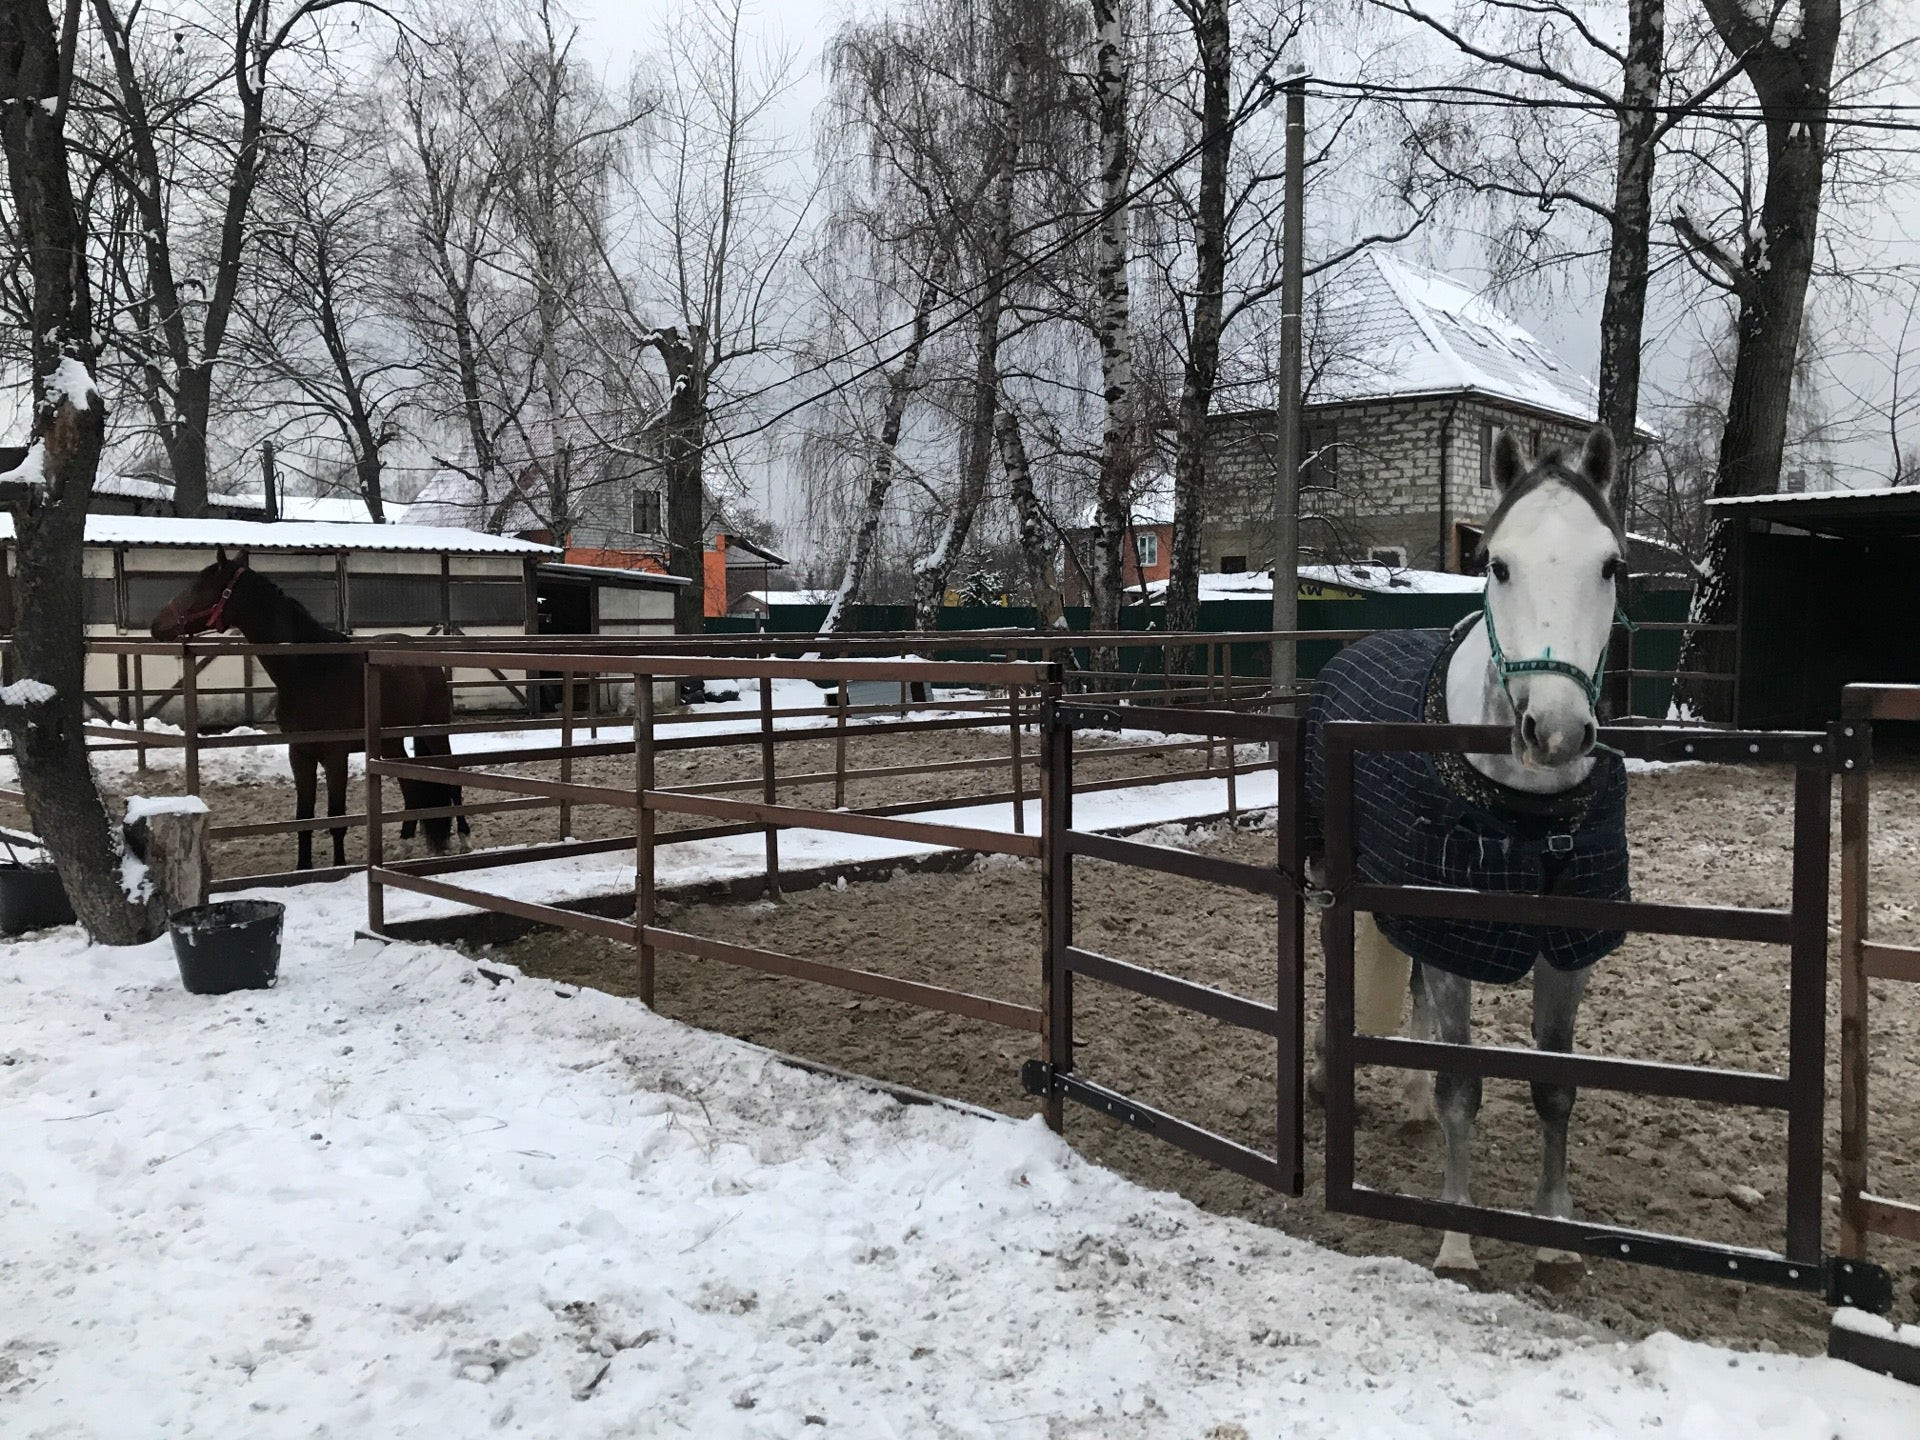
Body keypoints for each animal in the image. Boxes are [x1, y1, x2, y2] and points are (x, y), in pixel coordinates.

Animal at [151, 549, 470, 867]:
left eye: (200, 586)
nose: (156, 626)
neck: (310, 669)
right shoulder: (300, 754)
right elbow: (304, 817)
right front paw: (303, 867)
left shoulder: (335, 756)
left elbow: (336, 818)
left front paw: (339, 866)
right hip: (391, 741)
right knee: (409, 785)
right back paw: (403, 847)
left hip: (433, 731)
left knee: (452, 776)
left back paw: (464, 839)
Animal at [1305, 426, 1635, 1282]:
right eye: (1499, 563)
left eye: (1609, 565)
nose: (1555, 730)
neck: (1526, 810)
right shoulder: (1451, 929)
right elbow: (1464, 1087)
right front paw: (1457, 1241)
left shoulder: (1563, 948)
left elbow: (1556, 1090)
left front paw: (1555, 1239)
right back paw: (1326, 1080)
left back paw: (1411, 1103)